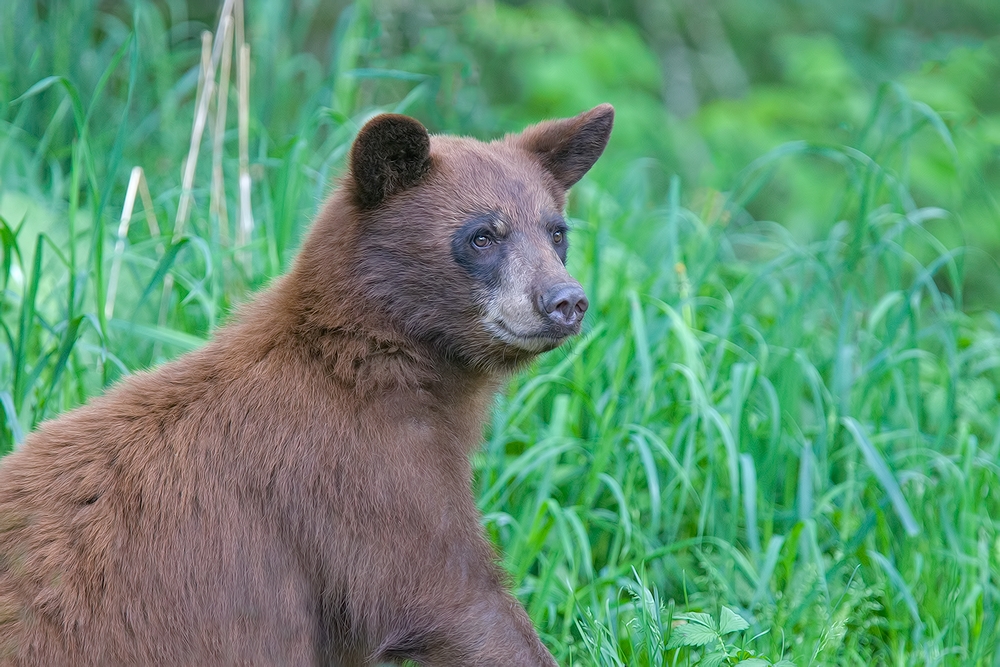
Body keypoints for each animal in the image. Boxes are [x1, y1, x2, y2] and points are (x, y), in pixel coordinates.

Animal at [0, 104, 612, 667]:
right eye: (482, 236)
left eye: (557, 232)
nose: (567, 301)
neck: (368, 361)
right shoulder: (360, 473)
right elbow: (449, 596)